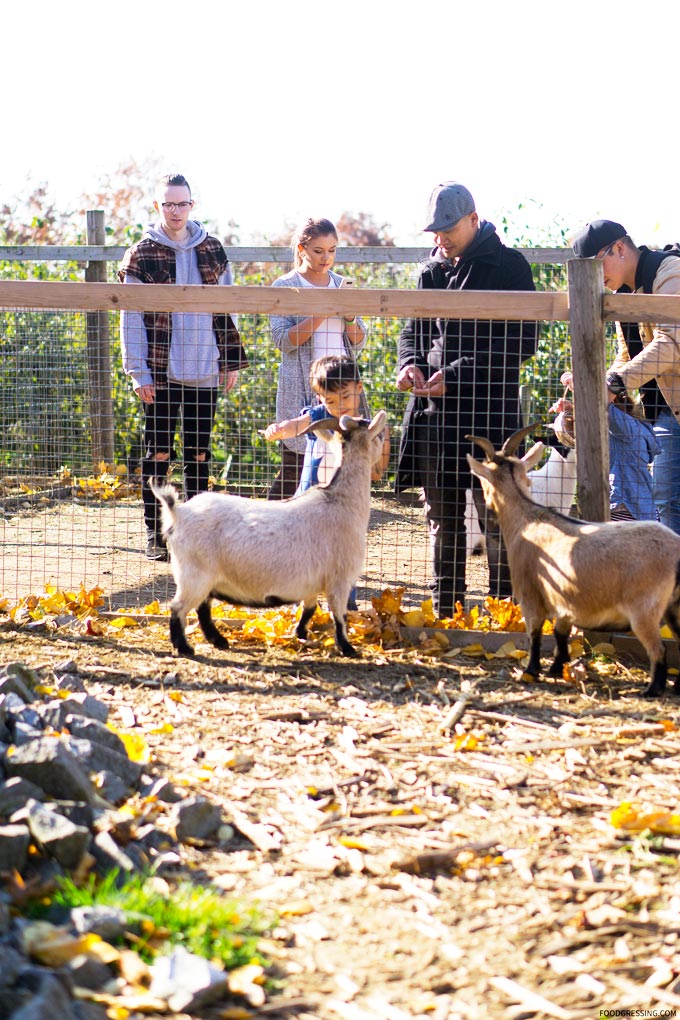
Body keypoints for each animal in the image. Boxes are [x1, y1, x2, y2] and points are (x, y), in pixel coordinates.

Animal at [149, 414, 385, 660]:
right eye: (378, 435)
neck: (341, 501)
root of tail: (178, 513)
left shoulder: (313, 583)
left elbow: (309, 608)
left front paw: (301, 634)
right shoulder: (340, 579)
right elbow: (340, 615)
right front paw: (348, 648)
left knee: (202, 607)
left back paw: (219, 641)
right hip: (195, 575)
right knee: (179, 607)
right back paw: (185, 647)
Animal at [464, 424, 680, 701]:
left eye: (482, 481)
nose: (488, 508)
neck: (528, 517)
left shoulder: (529, 593)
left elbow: (534, 633)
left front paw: (531, 671)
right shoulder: (565, 601)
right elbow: (560, 632)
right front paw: (557, 668)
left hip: (645, 608)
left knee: (659, 649)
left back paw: (652, 690)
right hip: (675, 606)